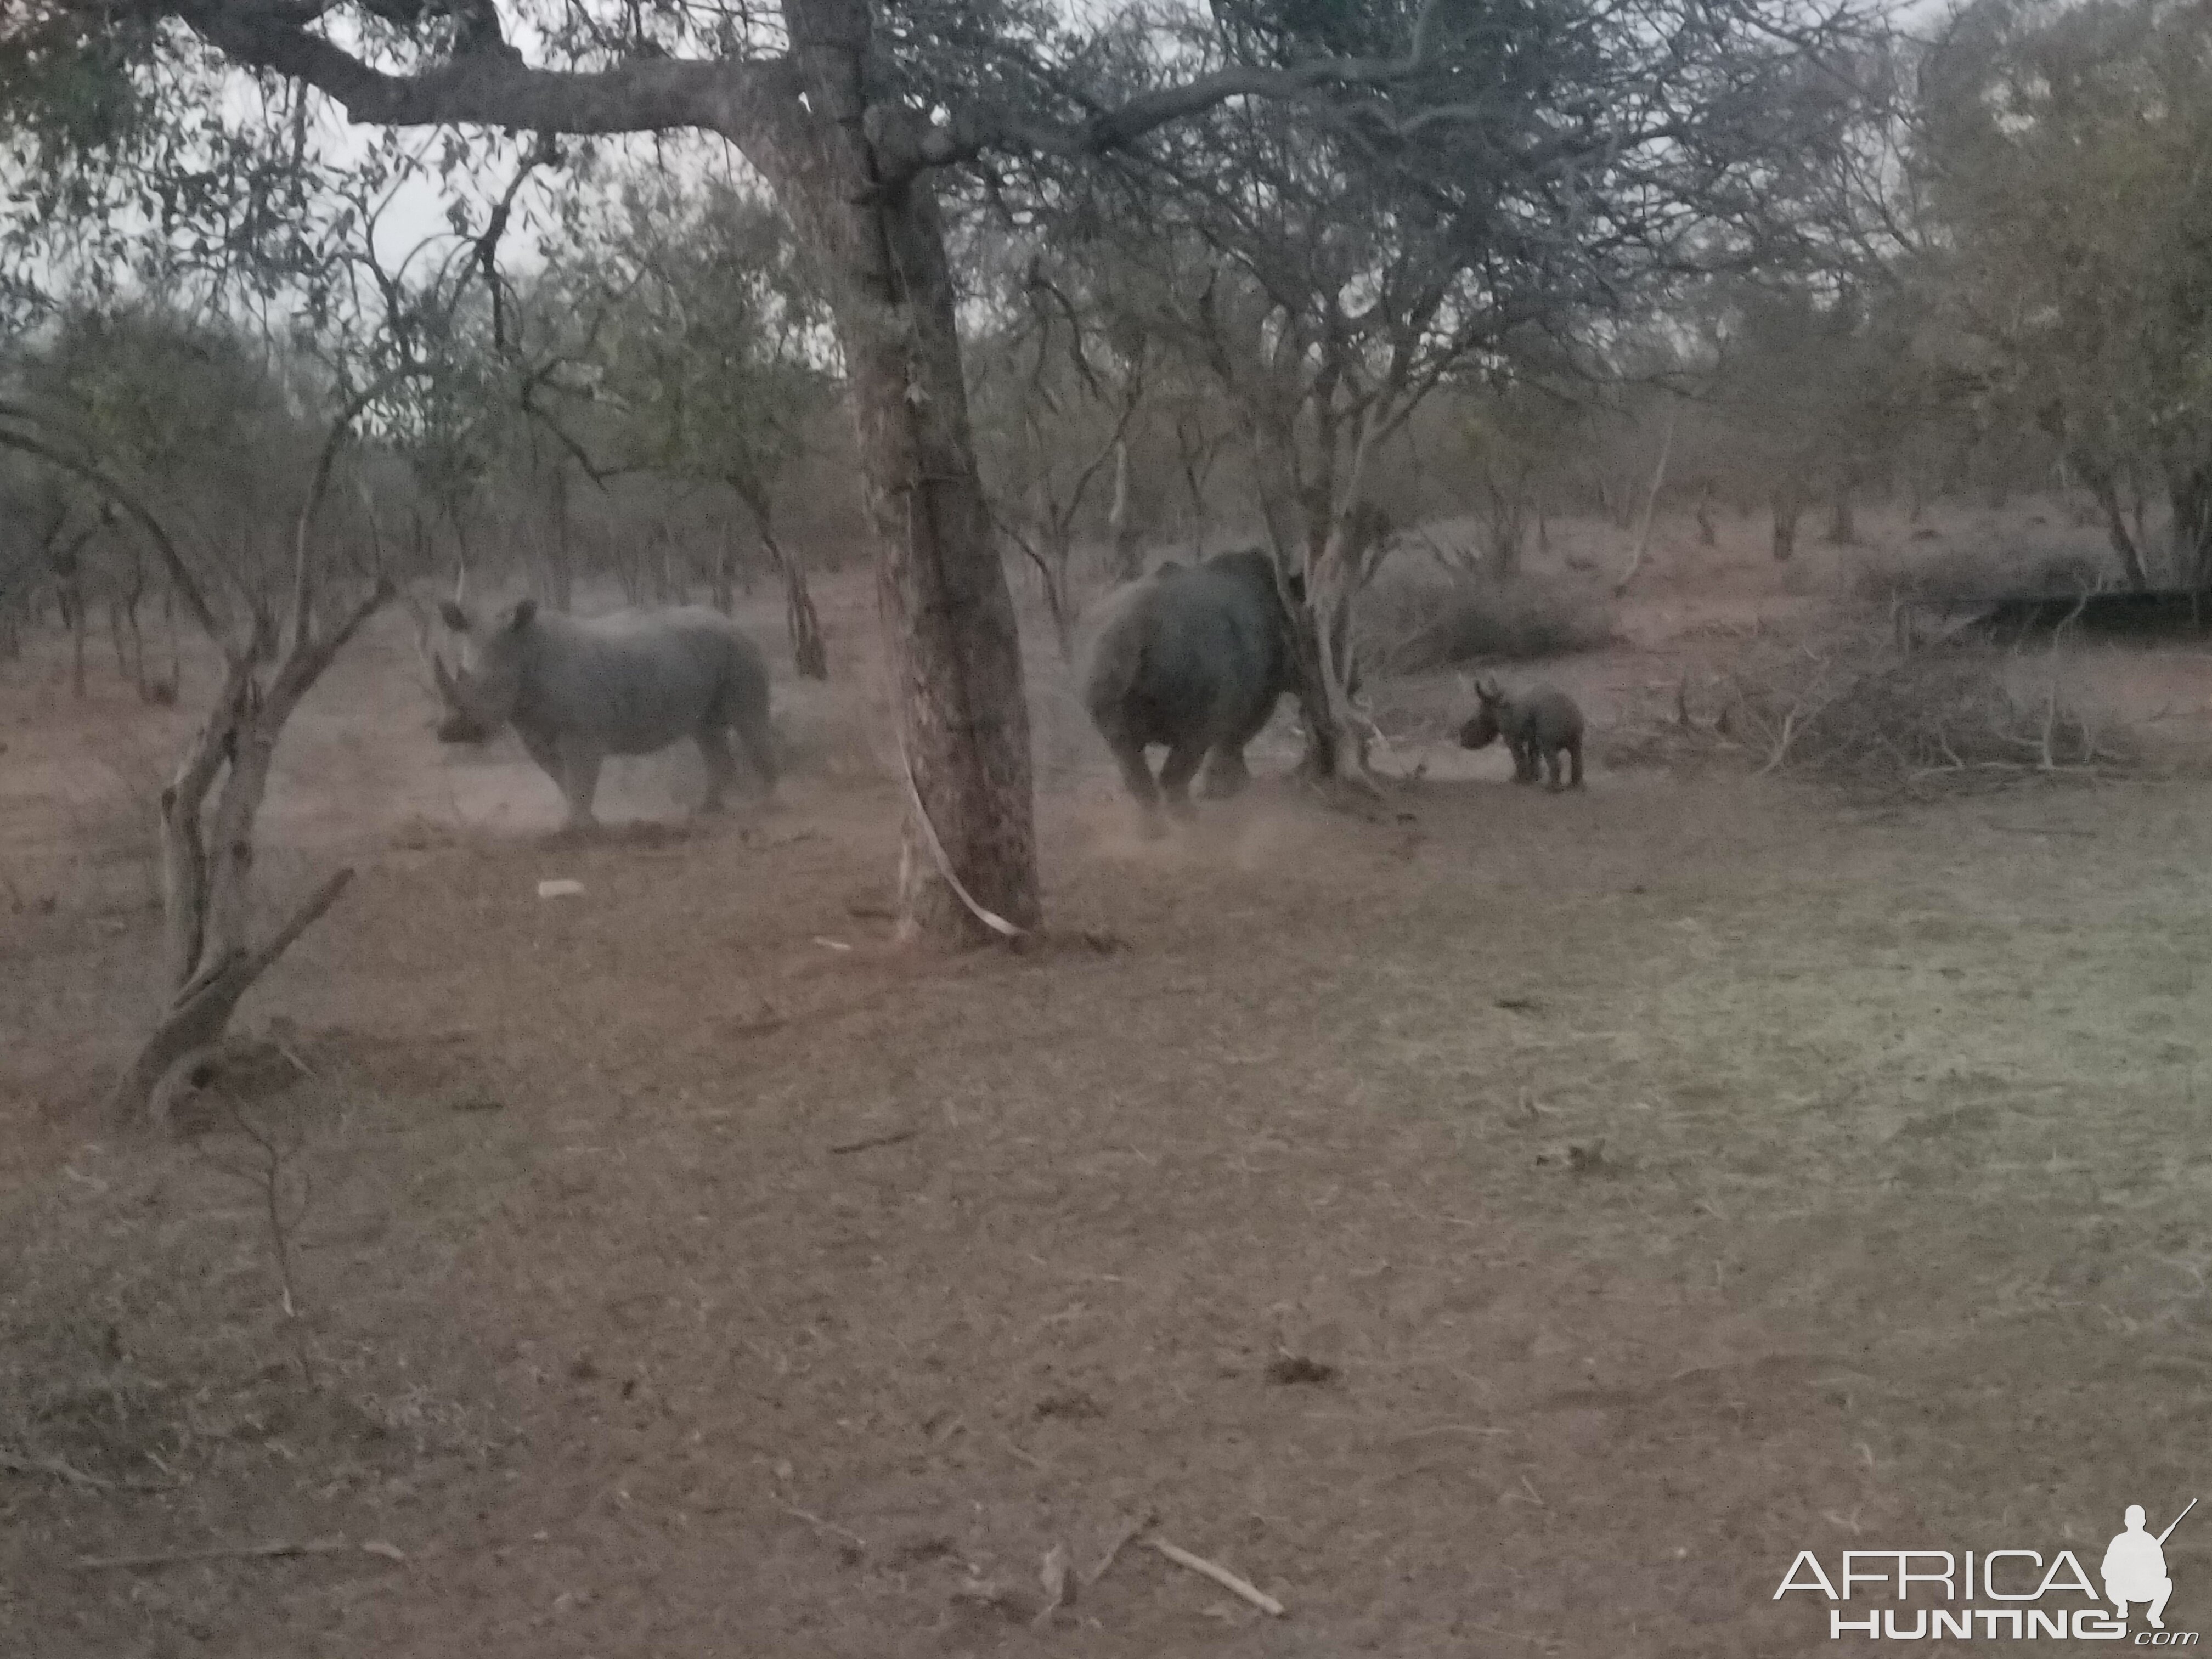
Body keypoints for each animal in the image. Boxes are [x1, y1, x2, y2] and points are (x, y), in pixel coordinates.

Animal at [431, 597, 778, 832]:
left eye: (497, 686)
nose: (452, 733)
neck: (525, 647)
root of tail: (732, 622)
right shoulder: (533, 729)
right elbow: (562, 778)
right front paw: (582, 824)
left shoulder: (582, 733)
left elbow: (580, 776)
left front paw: (576, 829)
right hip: (706, 655)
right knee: (706, 731)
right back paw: (707, 810)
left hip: (740, 654)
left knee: (749, 721)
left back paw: (766, 806)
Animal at [1079, 548, 1300, 827]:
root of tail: (1133, 628)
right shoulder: (1261, 694)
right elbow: (1234, 737)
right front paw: (1228, 789)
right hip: (1191, 656)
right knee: (1190, 748)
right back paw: (1187, 819)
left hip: (1101, 656)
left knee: (1125, 750)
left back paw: (1154, 828)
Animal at [1460, 681, 1583, 800]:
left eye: (1473, 722)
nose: (1463, 742)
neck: (1496, 707)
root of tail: (1568, 710)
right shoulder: (1533, 736)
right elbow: (1533, 754)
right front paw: (1533, 778)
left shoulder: (1511, 736)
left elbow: (1518, 755)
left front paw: (1518, 780)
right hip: (1575, 719)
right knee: (1576, 751)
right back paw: (1576, 787)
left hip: (1550, 720)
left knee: (1550, 750)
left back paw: (1553, 790)